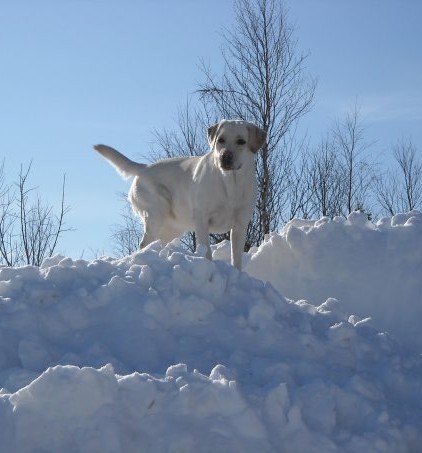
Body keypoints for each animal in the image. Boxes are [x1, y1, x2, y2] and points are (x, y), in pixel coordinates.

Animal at [95, 119, 266, 268]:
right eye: (221, 140)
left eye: (241, 141)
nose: (225, 156)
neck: (230, 182)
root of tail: (143, 168)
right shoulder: (202, 219)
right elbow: (206, 251)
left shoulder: (240, 225)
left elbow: (236, 258)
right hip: (157, 211)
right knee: (144, 243)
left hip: (173, 227)